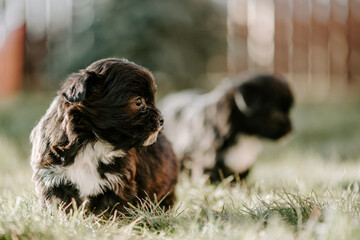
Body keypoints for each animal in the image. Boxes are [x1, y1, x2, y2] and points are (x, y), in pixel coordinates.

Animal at [30, 58, 179, 214]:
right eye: (138, 102)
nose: (161, 119)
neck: (92, 141)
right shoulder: (53, 176)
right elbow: (62, 204)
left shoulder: (117, 182)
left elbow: (109, 210)